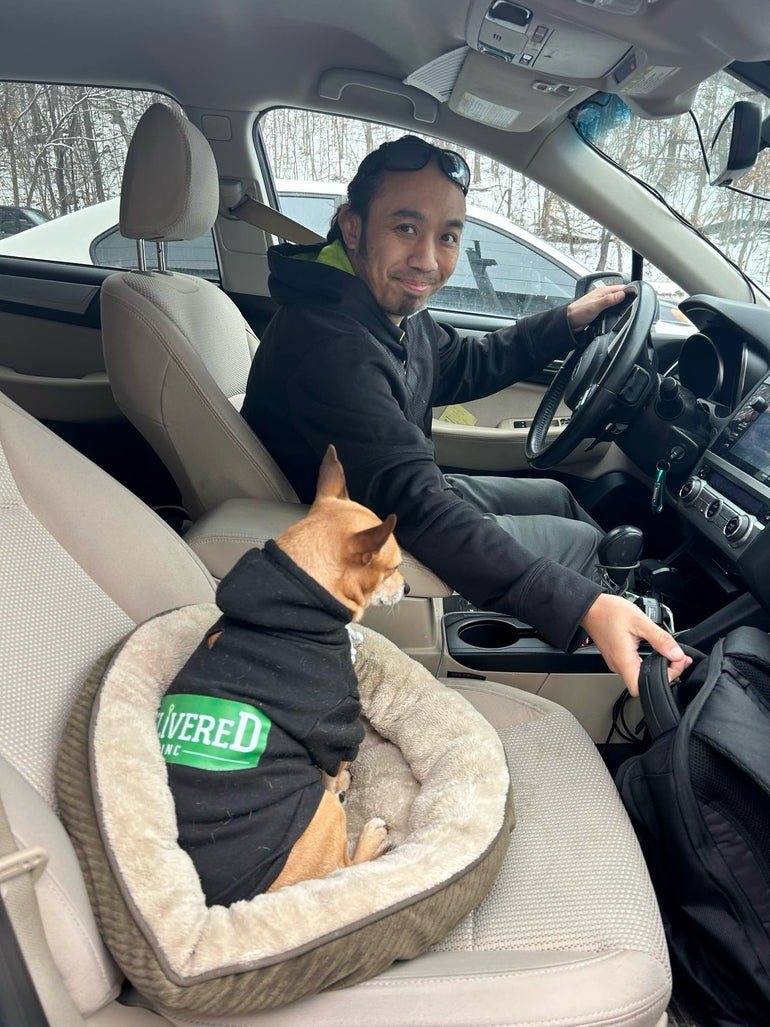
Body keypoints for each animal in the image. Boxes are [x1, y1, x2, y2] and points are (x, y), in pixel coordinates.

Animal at [160, 445, 406, 903]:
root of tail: (253, 895)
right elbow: (333, 765)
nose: (408, 588)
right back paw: (370, 837)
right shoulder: (334, 726)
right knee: (342, 869)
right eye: (393, 567)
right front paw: (341, 780)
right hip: (322, 820)